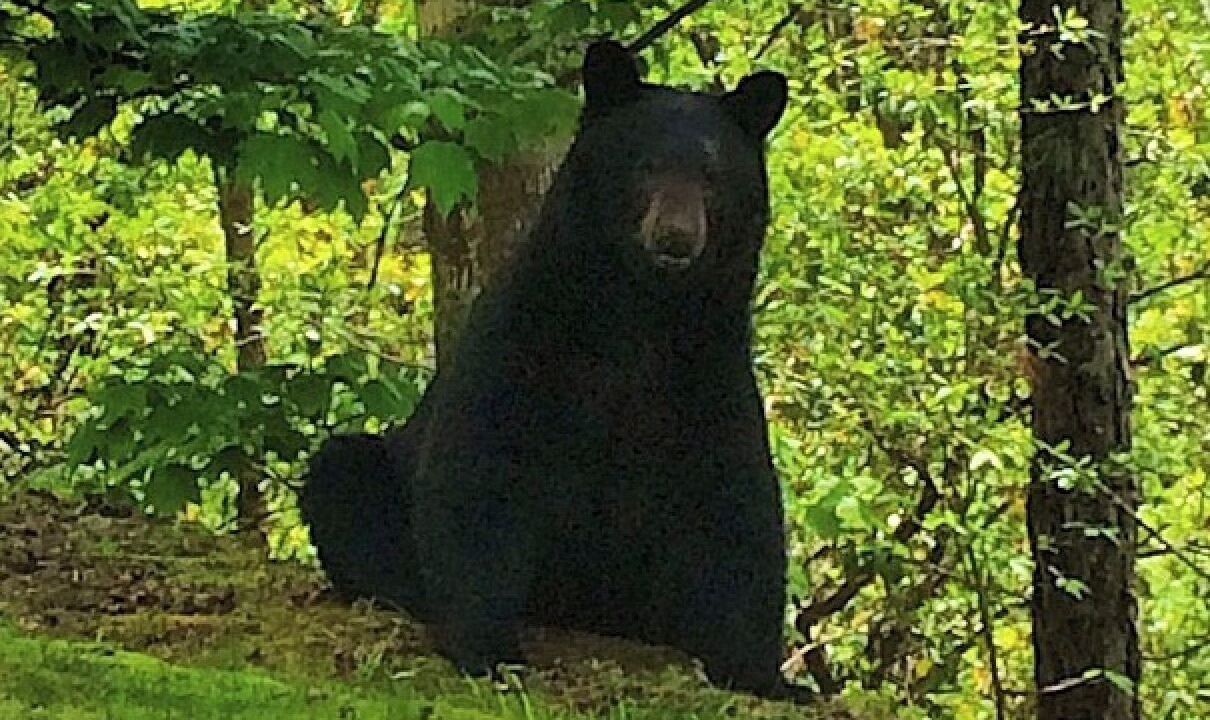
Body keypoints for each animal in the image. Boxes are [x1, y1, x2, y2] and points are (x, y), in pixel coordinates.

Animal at [300, 39, 789, 696]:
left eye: (713, 176)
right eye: (646, 165)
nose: (676, 236)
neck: (641, 314)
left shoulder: (706, 374)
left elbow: (734, 510)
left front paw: (762, 674)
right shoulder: (527, 342)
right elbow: (482, 474)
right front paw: (488, 648)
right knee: (343, 477)